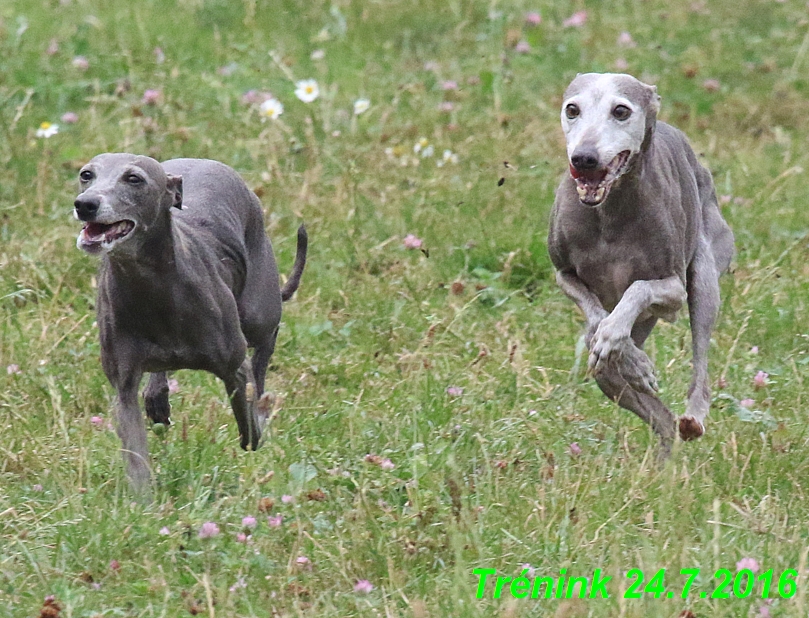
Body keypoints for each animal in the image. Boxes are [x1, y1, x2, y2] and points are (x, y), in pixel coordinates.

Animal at [74, 154, 308, 496]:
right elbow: (136, 458)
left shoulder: (235, 368)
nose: (85, 204)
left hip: (258, 312)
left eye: (134, 179)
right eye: (86, 175)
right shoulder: (123, 388)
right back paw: (158, 396)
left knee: (266, 342)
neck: (152, 288)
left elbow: (250, 429)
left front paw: (260, 420)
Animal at [548, 73, 732, 458]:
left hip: (705, 274)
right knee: (656, 415)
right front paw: (632, 361)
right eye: (572, 109)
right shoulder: (563, 274)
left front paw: (619, 343)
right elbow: (595, 315)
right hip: (617, 363)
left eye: (621, 111)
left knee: (701, 363)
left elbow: (638, 288)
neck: (608, 212)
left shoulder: (672, 289)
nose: (584, 158)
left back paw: (693, 416)